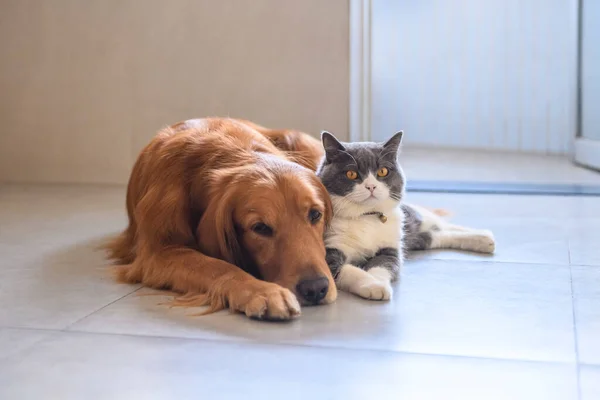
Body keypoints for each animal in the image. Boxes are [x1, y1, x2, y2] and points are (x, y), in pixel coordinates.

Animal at [108, 117, 338, 320]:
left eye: (315, 214)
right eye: (260, 228)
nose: (315, 289)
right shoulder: (158, 253)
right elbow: (216, 266)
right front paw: (262, 291)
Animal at [318, 131, 496, 300]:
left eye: (383, 171)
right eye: (351, 174)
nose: (371, 186)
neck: (366, 217)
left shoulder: (390, 248)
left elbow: (382, 266)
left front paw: (378, 283)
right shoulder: (329, 249)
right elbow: (347, 269)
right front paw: (374, 285)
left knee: (438, 224)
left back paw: (483, 236)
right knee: (432, 236)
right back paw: (484, 240)